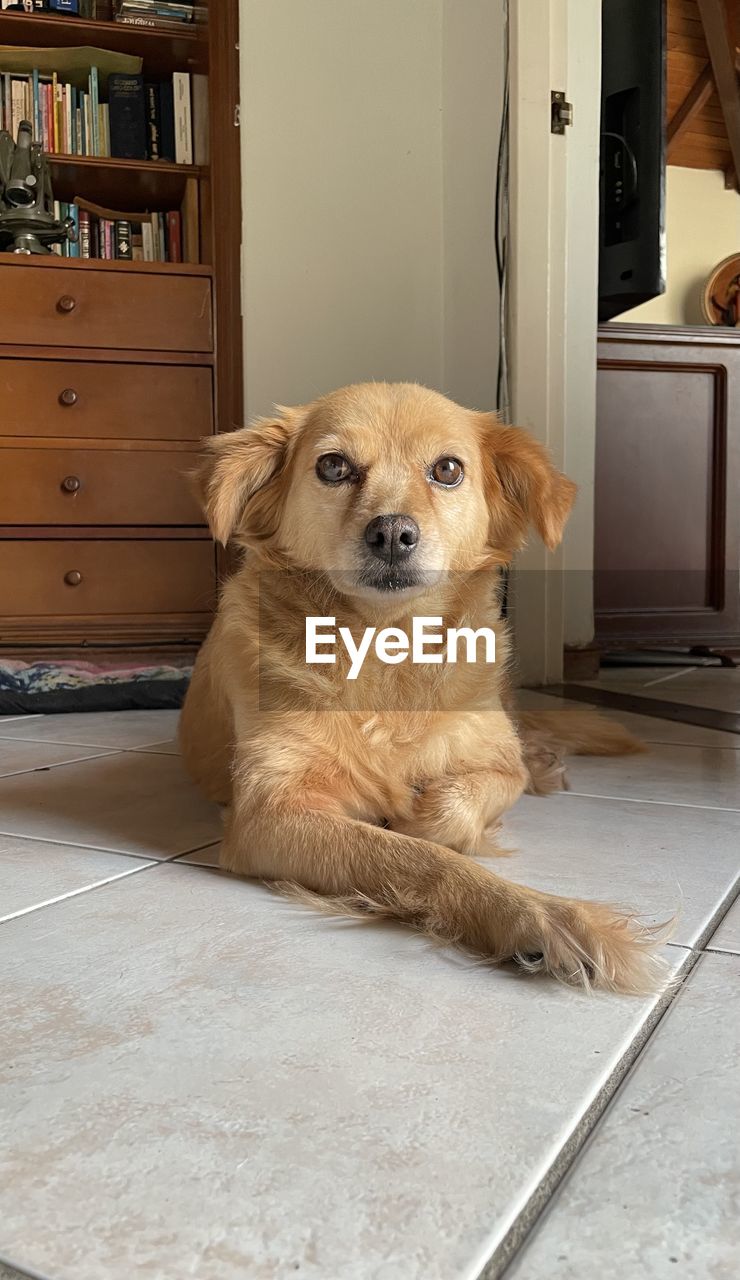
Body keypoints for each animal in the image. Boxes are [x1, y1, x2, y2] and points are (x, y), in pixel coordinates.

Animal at [180, 376, 665, 988]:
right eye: (333, 466)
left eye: (448, 469)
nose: (391, 532)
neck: (388, 650)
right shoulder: (269, 812)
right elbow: (417, 859)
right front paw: (541, 917)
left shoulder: (494, 760)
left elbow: (453, 811)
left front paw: (419, 813)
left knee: (527, 742)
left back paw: (545, 765)